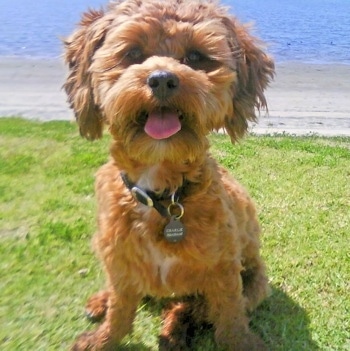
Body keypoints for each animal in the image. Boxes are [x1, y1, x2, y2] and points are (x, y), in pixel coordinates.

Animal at [64, 0, 274, 350]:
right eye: (133, 53)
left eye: (195, 57)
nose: (162, 79)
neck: (161, 192)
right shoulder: (119, 259)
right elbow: (120, 309)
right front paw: (103, 339)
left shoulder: (224, 268)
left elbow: (229, 316)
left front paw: (240, 342)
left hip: (254, 281)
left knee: (197, 306)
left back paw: (174, 330)